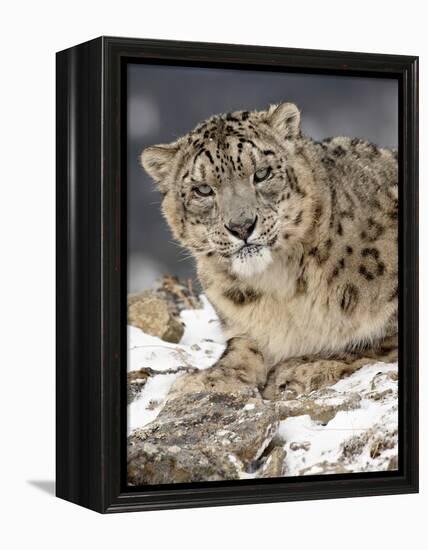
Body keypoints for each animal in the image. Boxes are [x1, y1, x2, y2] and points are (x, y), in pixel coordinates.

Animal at [141, 103, 398, 396]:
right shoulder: (245, 328)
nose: (241, 226)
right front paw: (206, 378)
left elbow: (371, 343)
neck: (280, 287)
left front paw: (302, 368)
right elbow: (240, 350)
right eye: (203, 189)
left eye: (262, 174)